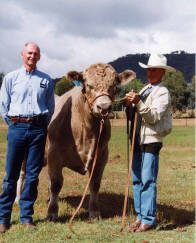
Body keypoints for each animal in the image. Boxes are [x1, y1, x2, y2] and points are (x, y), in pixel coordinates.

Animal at [46, 63, 136, 220]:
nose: (104, 107)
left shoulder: (101, 156)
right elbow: (56, 183)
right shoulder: (54, 154)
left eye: (114, 85)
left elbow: (94, 183)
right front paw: (52, 212)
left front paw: (94, 211)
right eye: (88, 85)